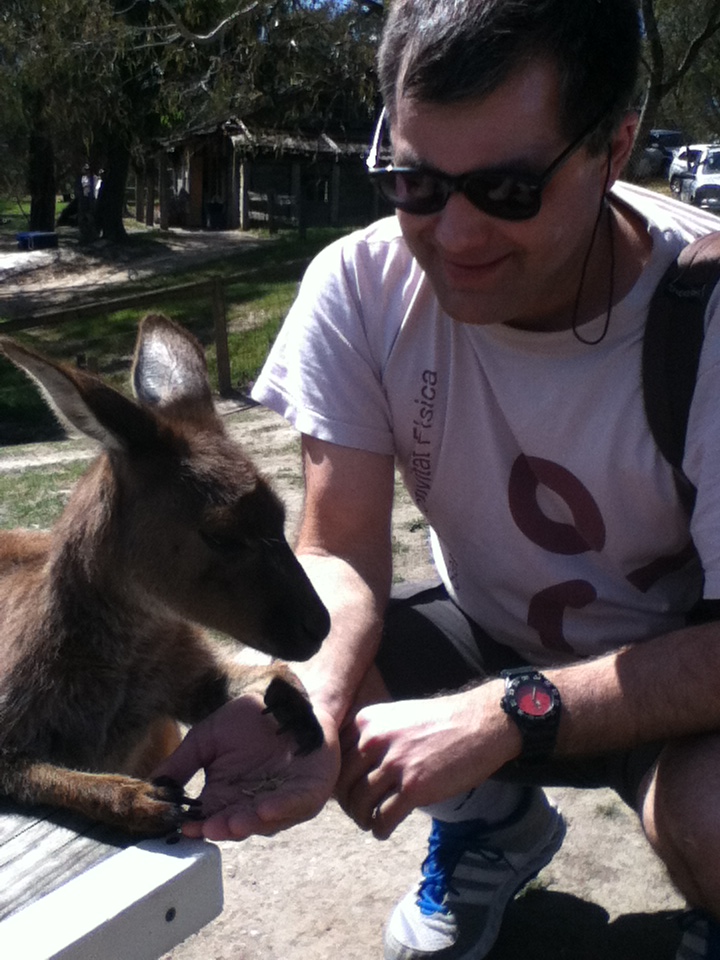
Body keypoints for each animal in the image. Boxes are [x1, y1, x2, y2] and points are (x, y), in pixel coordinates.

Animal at [0, 314, 330, 835]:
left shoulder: (183, 673)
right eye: (220, 536)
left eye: (282, 516)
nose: (320, 627)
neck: (132, 648)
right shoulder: (9, 742)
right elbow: (47, 777)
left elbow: (254, 675)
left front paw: (294, 704)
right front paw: (143, 800)